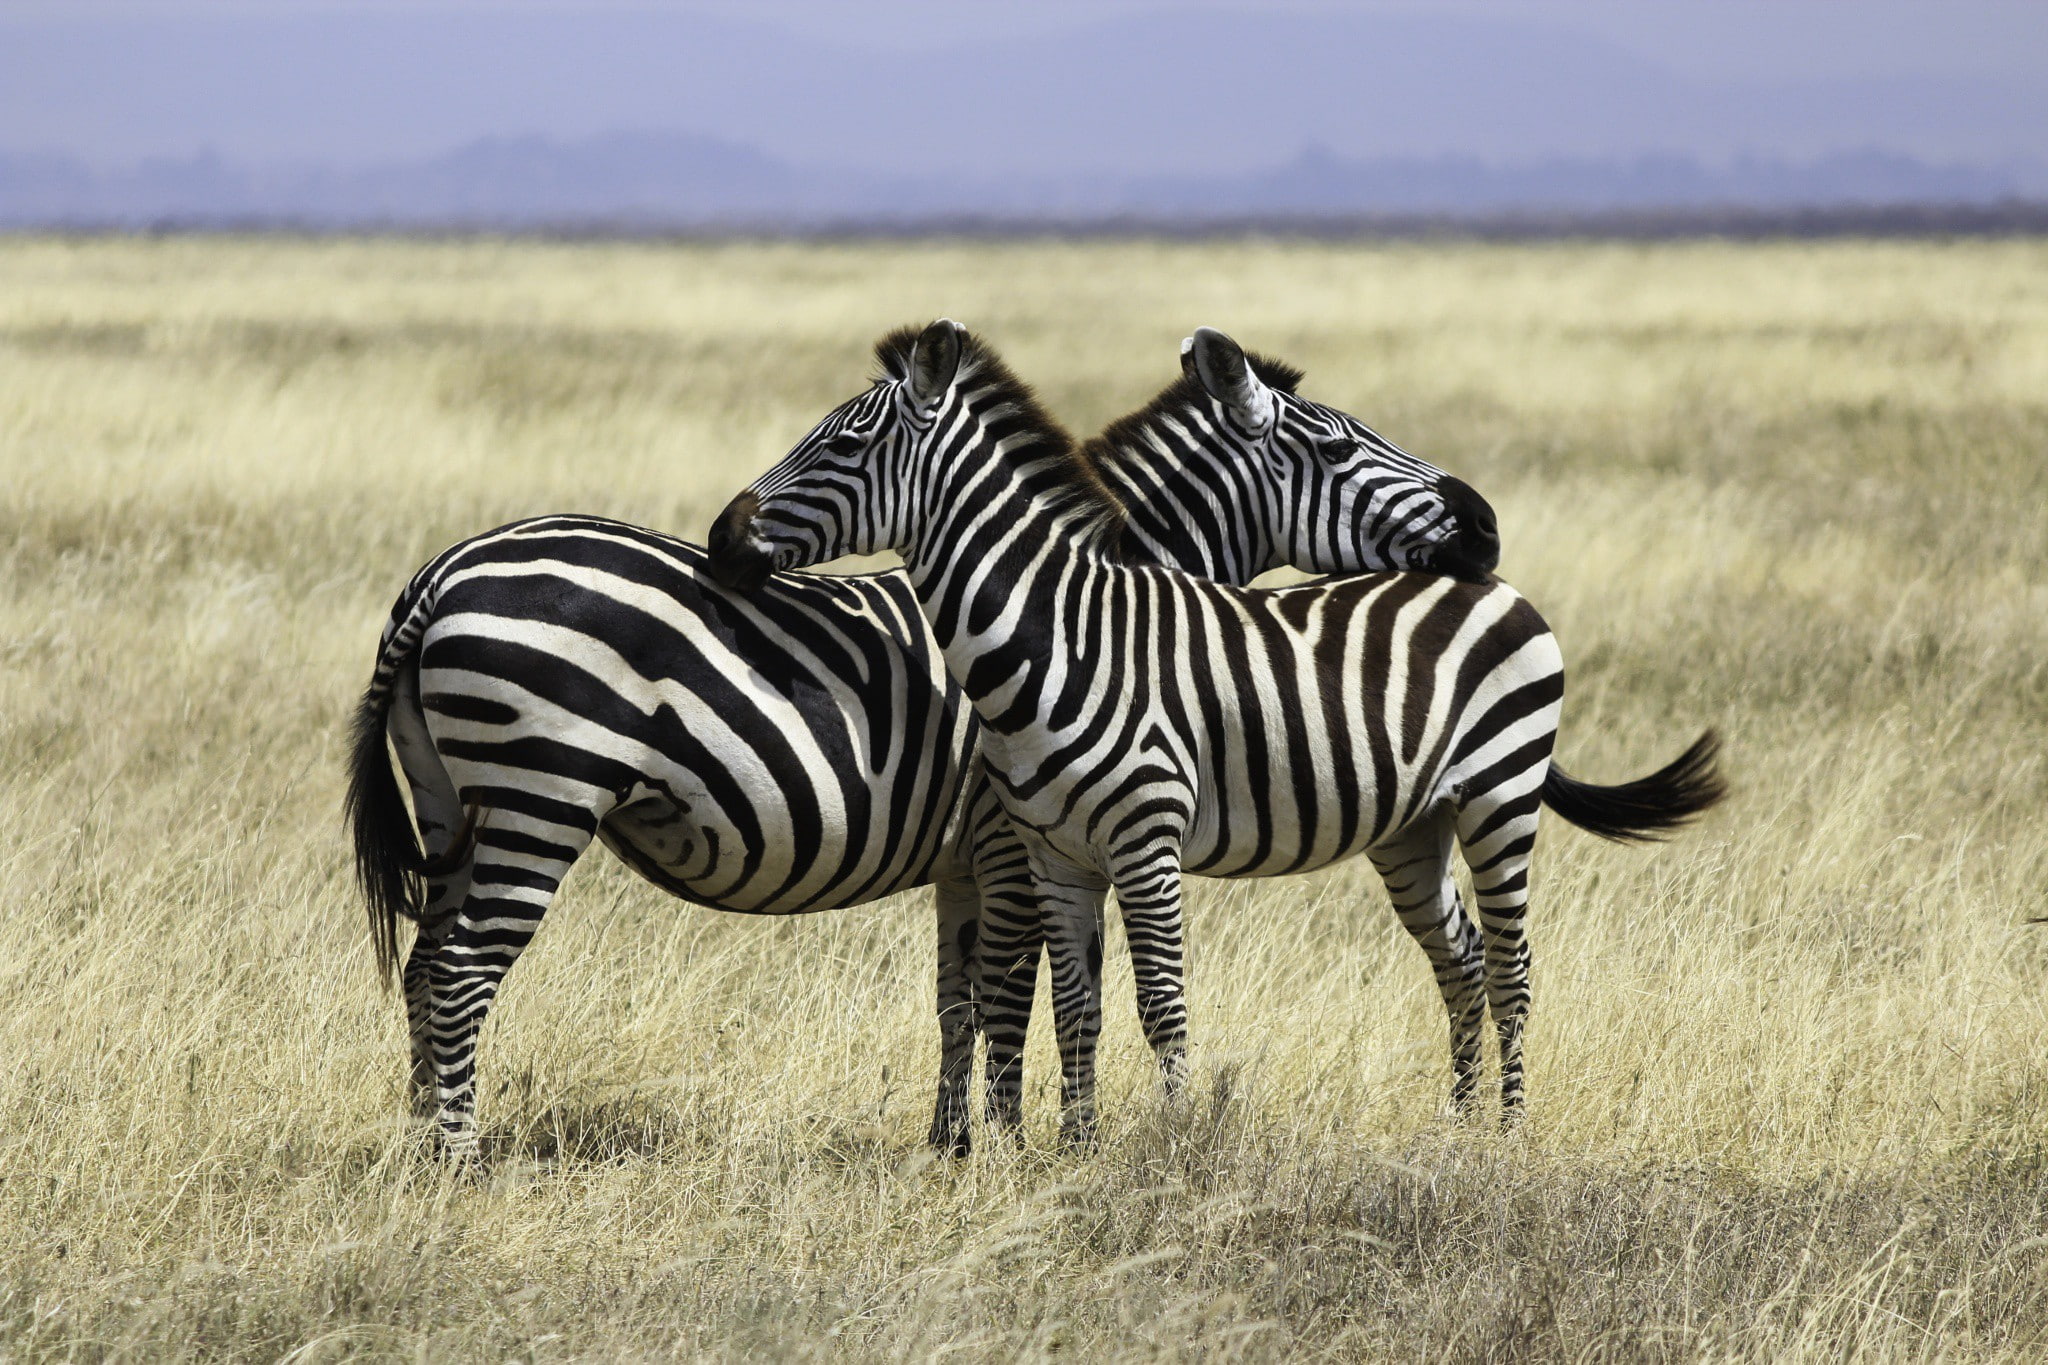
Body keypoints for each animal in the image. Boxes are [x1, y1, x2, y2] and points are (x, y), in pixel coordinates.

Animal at [345, 328, 1501, 1159]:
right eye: (1341, 444)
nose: (1485, 526)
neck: (1075, 610)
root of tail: (441, 573)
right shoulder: (1008, 840)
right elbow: (1012, 997)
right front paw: (1011, 1141)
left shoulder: (966, 860)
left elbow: (957, 1001)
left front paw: (951, 1143)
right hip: (542, 796)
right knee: (462, 967)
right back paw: (461, 1158)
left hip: (457, 805)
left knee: (424, 963)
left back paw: (417, 1143)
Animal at [708, 319, 1726, 1139]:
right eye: (1339, 444)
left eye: (844, 441)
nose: (722, 537)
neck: (1056, 633)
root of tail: (1502, 589)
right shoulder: (1051, 853)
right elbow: (1070, 1004)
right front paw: (1067, 1152)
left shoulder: (1133, 841)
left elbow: (1141, 1002)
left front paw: (1160, 1145)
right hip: (1413, 827)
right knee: (1464, 959)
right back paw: (1462, 1124)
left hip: (1500, 796)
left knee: (1512, 967)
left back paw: (1508, 1134)